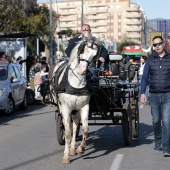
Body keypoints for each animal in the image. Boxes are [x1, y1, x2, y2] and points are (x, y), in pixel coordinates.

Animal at [52, 34, 102, 163]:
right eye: (82, 50)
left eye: (94, 55)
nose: (80, 71)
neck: (76, 83)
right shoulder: (65, 108)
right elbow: (67, 132)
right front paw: (66, 156)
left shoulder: (84, 106)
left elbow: (85, 128)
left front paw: (80, 148)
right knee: (68, 126)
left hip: (76, 110)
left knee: (75, 126)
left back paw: (73, 148)